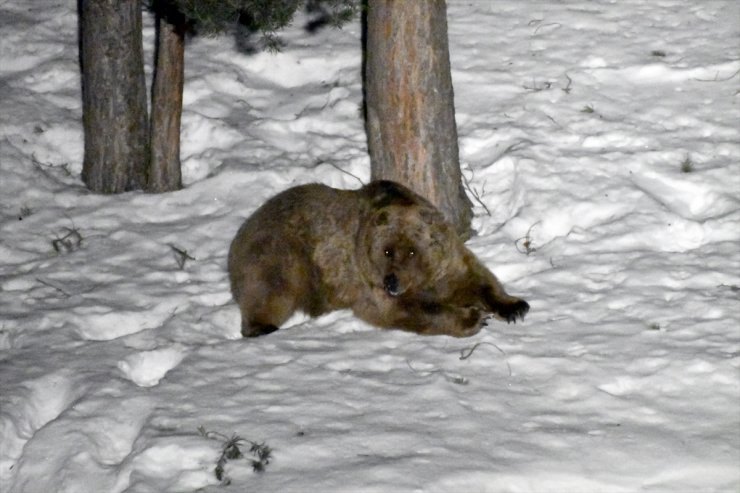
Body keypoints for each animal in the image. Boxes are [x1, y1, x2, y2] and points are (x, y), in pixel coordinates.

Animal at [225, 181, 528, 338]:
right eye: (387, 251)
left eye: (412, 251)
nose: (391, 282)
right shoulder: (366, 278)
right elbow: (405, 310)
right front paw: (473, 317)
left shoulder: (448, 260)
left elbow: (476, 277)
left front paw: (514, 306)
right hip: (283, 252)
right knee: (271, 289)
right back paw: (263, 327)